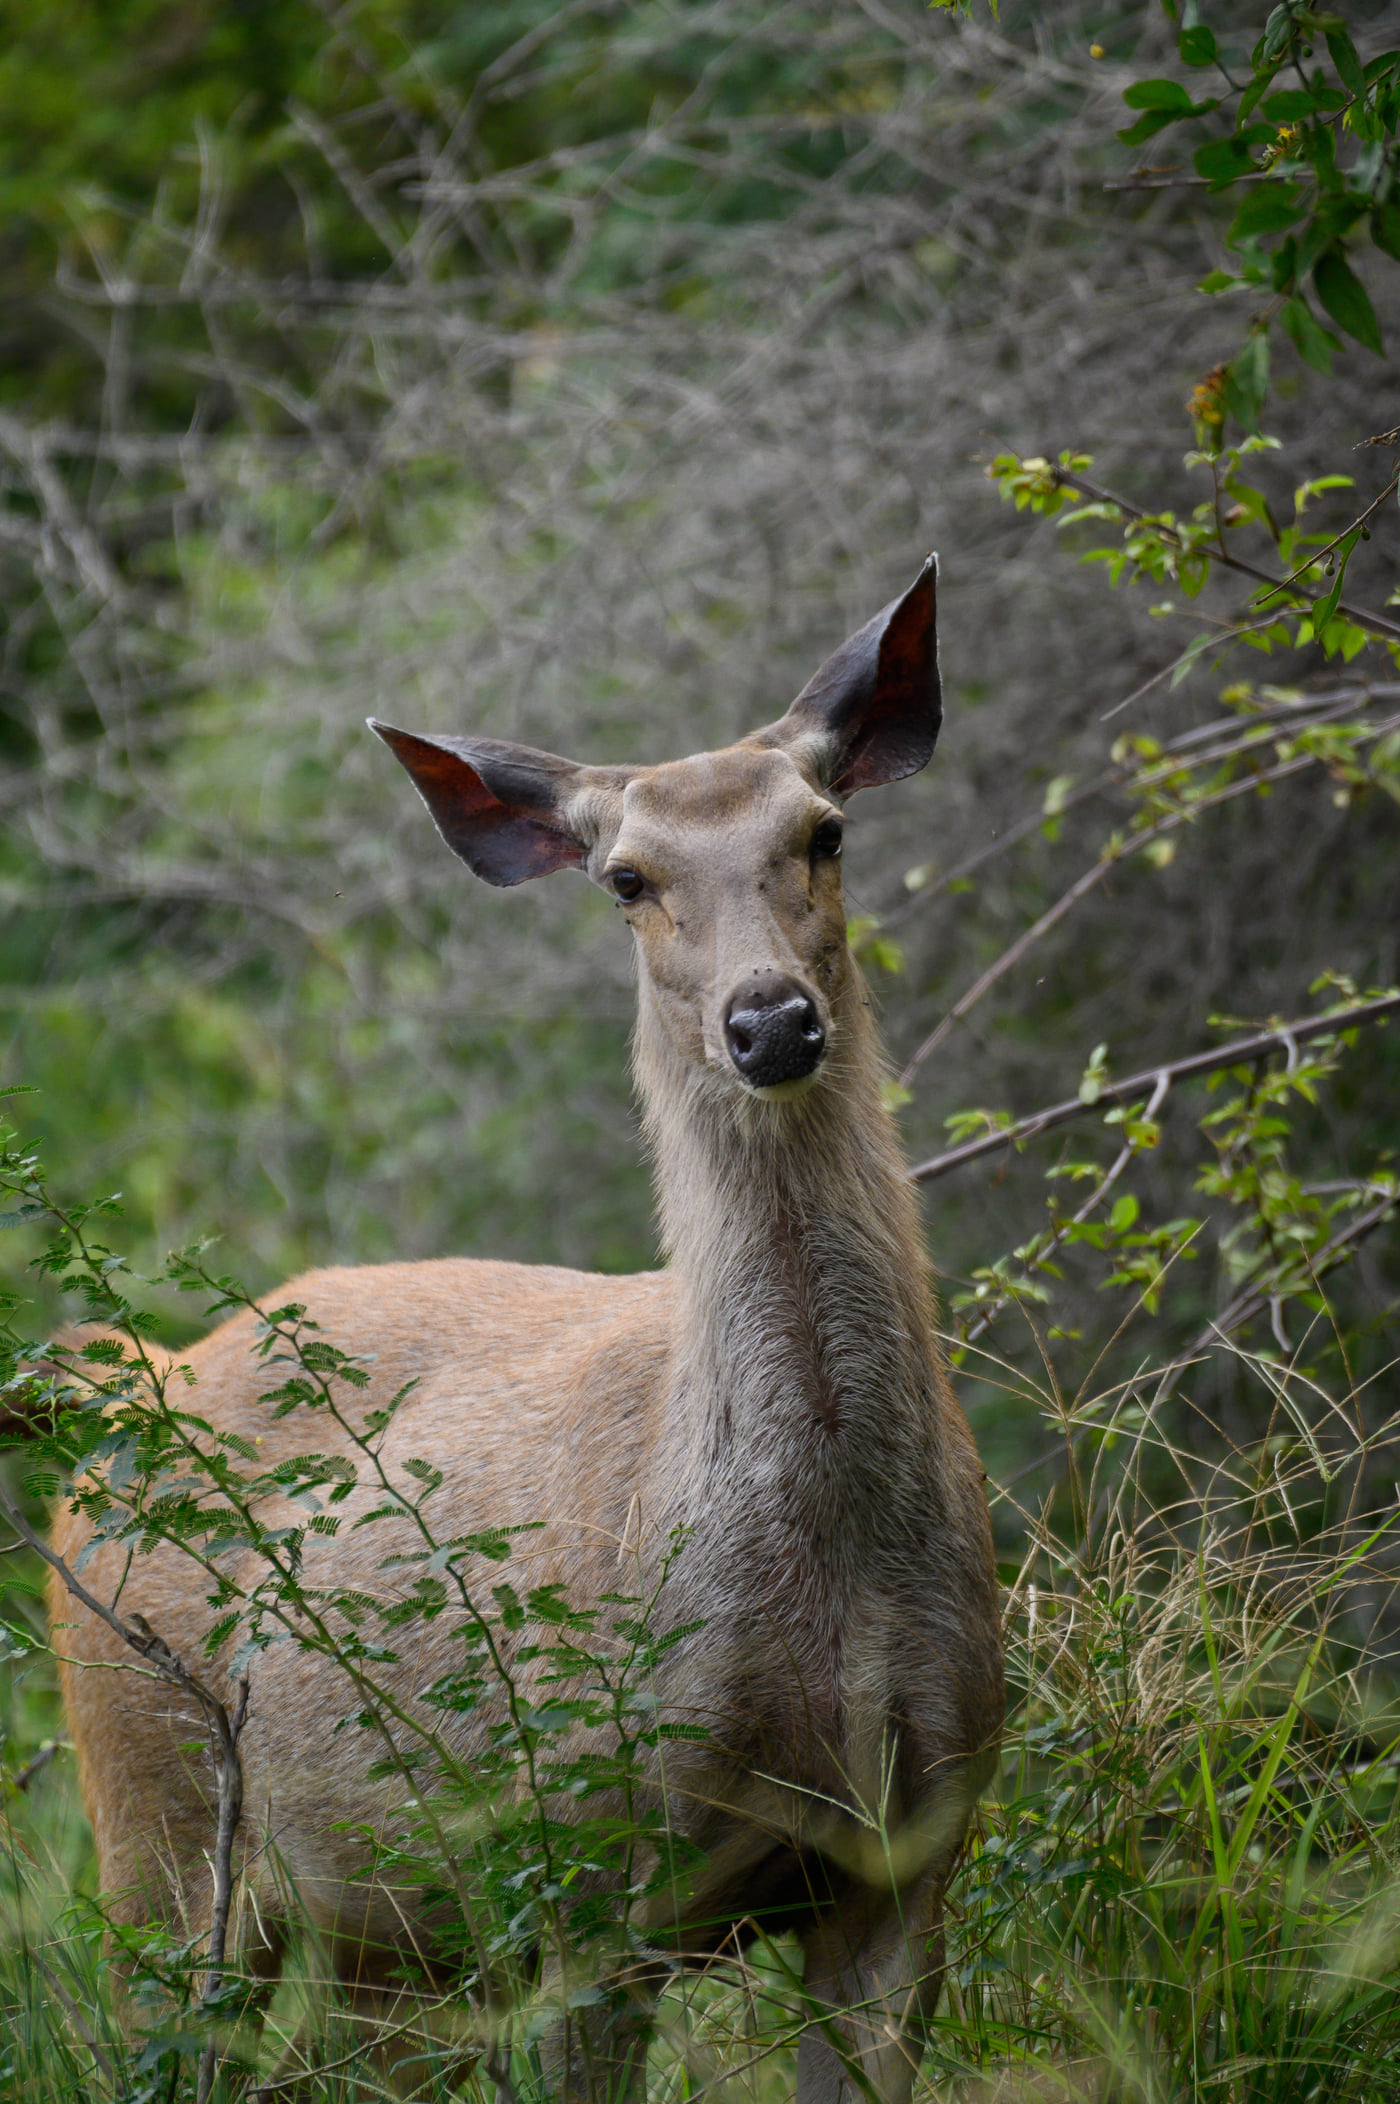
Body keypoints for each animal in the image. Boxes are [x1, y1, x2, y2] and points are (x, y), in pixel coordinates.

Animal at [49, 557, 1004, 2102]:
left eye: (825, 831)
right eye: (626, 879)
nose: (770, 1021)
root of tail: (122, 1394)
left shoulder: (913, 1850)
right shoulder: (579, 1872)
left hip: (377, 1929)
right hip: (156, 1811)